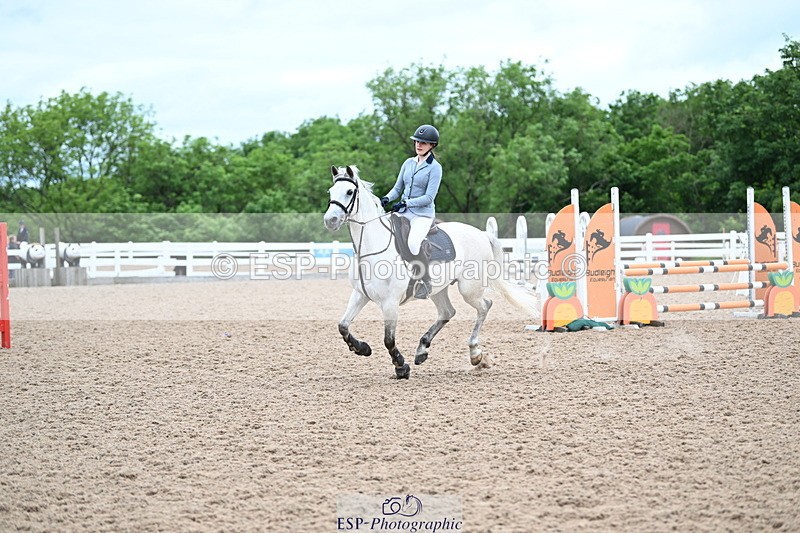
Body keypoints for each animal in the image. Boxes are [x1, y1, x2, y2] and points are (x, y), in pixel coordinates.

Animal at [323, 165, 538, 379]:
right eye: (331, 192)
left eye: (349, 192)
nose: (330, 220)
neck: (371, 247)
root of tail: (482, 234)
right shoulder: (360, 294)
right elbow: (343, 326)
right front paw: (362, 348)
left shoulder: (390, 302)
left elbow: (388, 339)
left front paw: (401, 367)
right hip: (437, 289)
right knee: (447, 312)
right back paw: (422, 349)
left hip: (469, 288)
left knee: (485, 306)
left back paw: (475, 354)